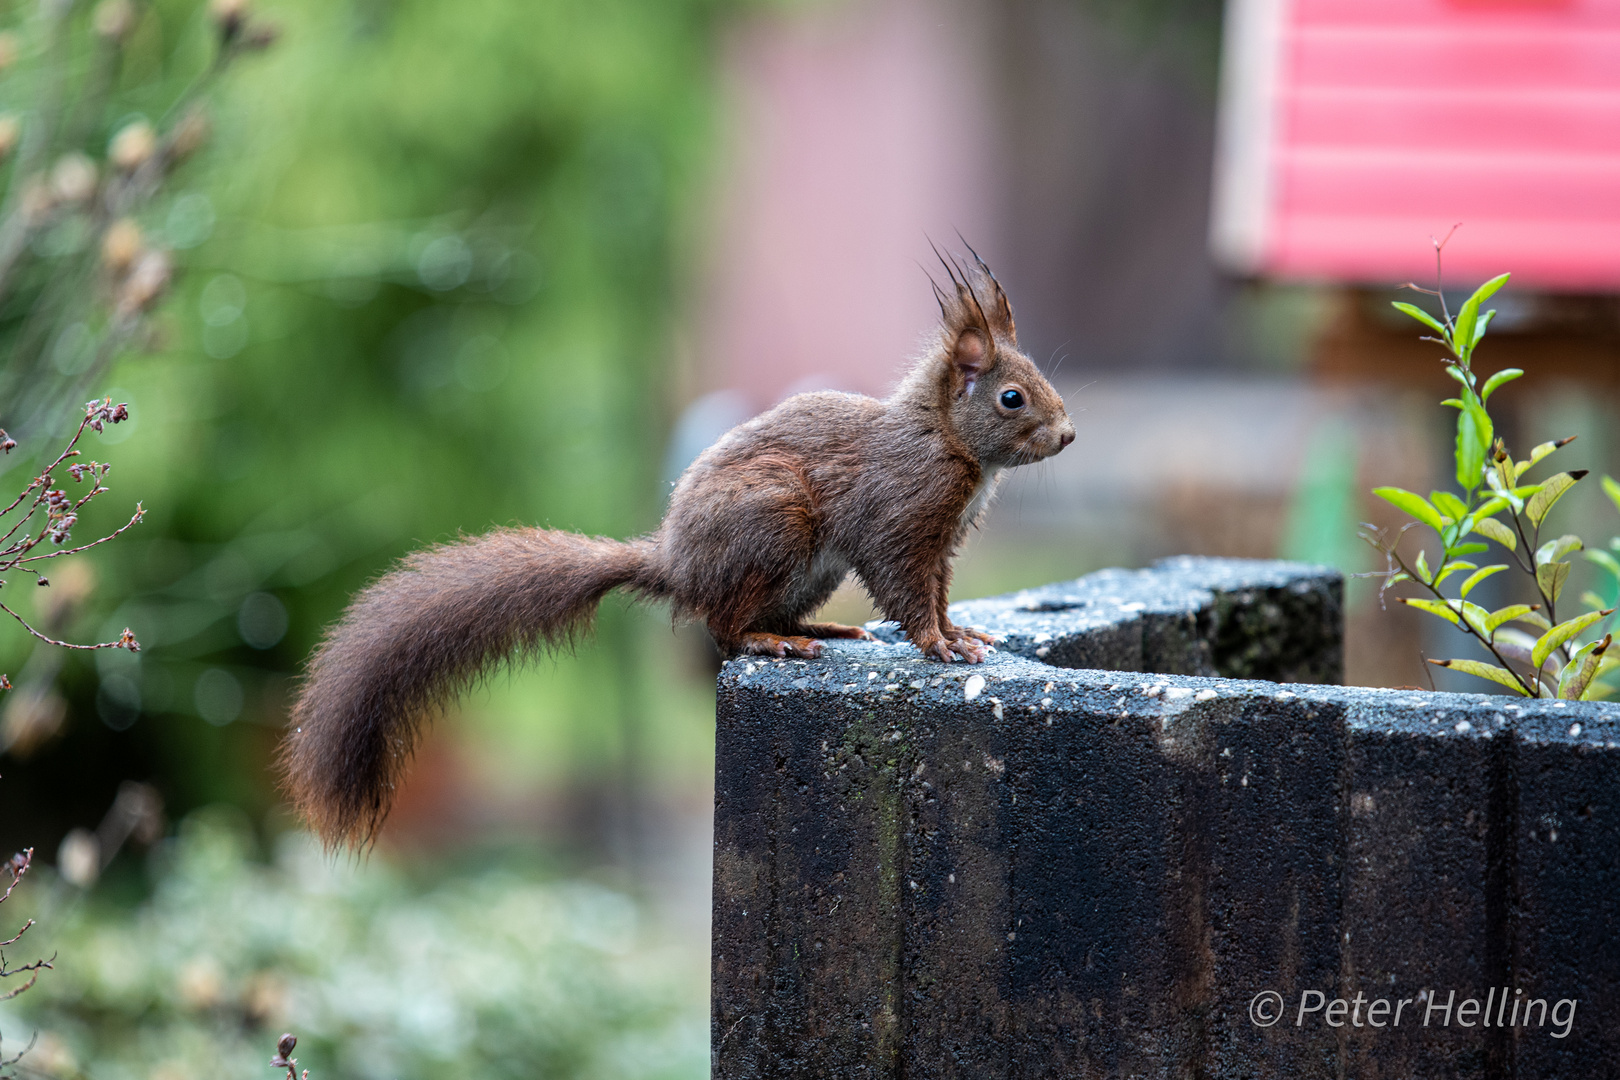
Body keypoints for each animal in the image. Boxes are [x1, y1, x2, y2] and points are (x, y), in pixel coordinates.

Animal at [281, 254, 1075, 841]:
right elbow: (906, 589)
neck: (948, 442)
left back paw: (818, 629)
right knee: (722, 627)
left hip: (805, 567)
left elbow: (936, 593)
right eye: (1011, 397)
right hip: (776, 521)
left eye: (1041, 377)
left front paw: (962, 633)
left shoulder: (942, 544)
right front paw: (940, 647)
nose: (1068, 434)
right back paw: (771, 642)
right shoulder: (900, 517)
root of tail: (674, 562)